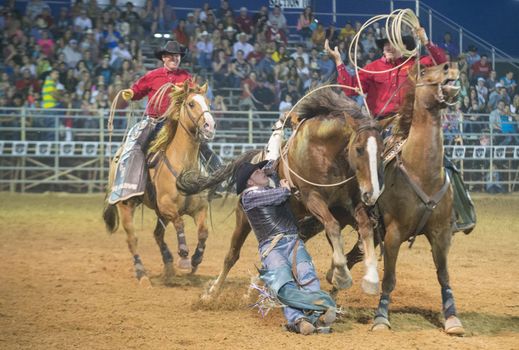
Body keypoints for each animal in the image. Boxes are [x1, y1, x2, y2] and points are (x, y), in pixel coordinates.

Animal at [102, 82, 216, 288]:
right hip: (126, 205)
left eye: (208, 102)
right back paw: (142, 275)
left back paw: (168, 265)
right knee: (132, 239)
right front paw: (184, 258)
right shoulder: (166, 206)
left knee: (157, 234)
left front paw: (196, 259)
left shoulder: (199, 208)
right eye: (191, 104)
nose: (209, 126)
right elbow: (179, 223)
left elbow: (203, 232)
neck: (183, 164)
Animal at [179, 87, 386, 298]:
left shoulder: (349, 203)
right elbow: (333, 226)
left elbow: (365, 227)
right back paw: (213, 292)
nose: (372, 193)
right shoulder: (312, 198)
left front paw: (370, 278)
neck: (322, 152)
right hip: (243, 218)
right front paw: (342, 274)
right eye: (359, 149)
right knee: (232, 255)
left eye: (381, 150)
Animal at [372, 61, 466, 334]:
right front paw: (381, 317)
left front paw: (452, 318)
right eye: (423, 72)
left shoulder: (441, 234)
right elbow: (389, 279)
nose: (450, 67)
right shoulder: (393, 234)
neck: (420, 171)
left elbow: (444, 276)